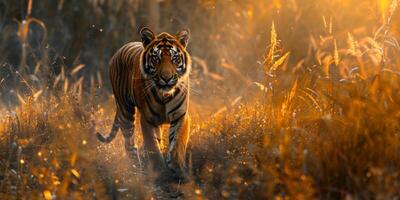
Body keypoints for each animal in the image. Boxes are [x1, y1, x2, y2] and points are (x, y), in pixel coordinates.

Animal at [96, 27, 191, 180]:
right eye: (156, 59)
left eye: (175, 59)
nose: (166, 78)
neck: (164, 95)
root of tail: (119, 51)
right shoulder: (148, 120)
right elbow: (153, 147)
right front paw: (160, 172)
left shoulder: (181, 116)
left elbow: (177, 144)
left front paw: (178, 170)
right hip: (125, 111)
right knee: (129, 145)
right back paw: (137, 170)